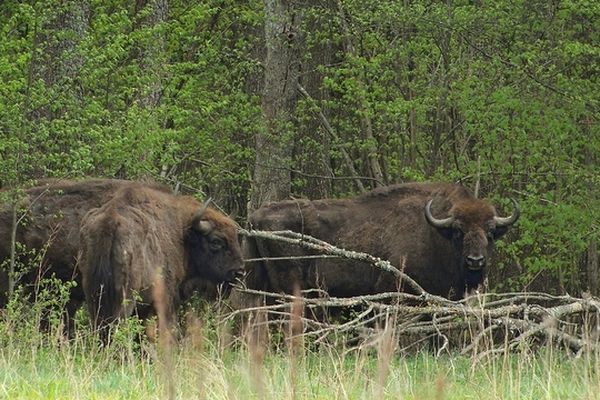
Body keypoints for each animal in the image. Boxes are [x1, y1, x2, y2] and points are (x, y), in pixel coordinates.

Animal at [79, 183, 244, 332]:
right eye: (216, 241)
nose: (239, 271)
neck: (182, 233)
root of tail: (110, 221)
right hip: (126, 298)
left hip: (93, 295)